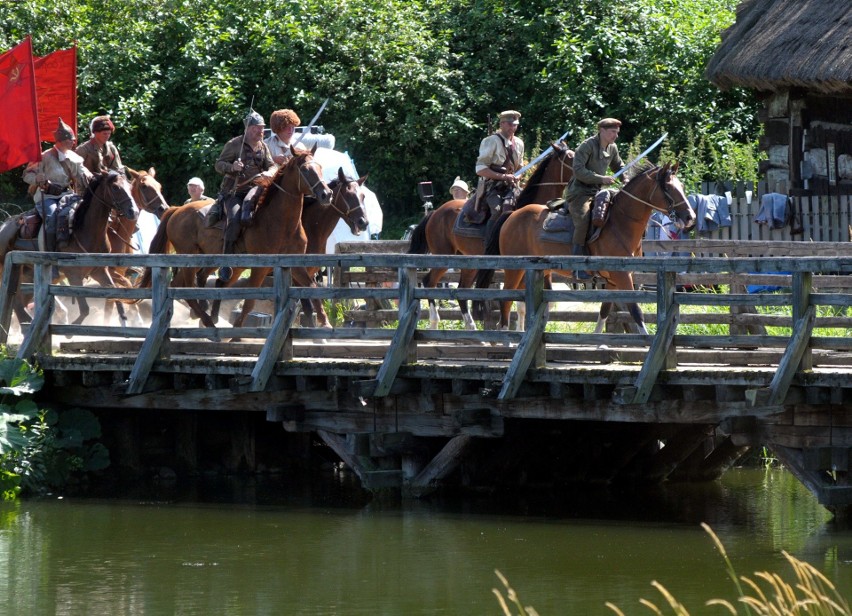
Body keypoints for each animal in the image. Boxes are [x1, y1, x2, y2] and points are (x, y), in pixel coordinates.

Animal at [0, 171, 140, 328]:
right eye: (115, 188)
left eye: (130, 186)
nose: (134, 212)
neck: (83, 230)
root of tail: (3, 227)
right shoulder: (74, 275)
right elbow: (85, 309)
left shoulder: (100, 271)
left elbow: (115, 295)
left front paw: (124, 320)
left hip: (27, 275)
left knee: (19, 301)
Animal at [137, 146, 332, 330]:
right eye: (305, 170)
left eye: (320, 167)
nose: (326, 194)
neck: (282, 223)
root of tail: (176, 210)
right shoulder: (261, 268)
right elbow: (249, 302)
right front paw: (236, 333)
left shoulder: (295, 264)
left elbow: (312, 288)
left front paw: (325, 323)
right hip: (189, 259)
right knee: (187, 287)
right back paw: (208, 321)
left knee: (185, 284)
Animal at [404, 141, 572, 330]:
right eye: (571, 157)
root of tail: (435, 213)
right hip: (441, 257)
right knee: (429, 283)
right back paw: (434, 322)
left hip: (468, 262)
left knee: (462, 289)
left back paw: (472, 328)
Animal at [476, 164, 696, 334]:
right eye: (669, 188)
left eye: (681, 186)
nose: (690, 217)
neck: (619, 223)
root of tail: (512, 215)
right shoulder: (623, 276)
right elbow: (635, 310)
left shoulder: (613, 280)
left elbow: (605, 310)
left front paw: (599, 344)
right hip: (514, 270)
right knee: (506, 301)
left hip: (536, 272)